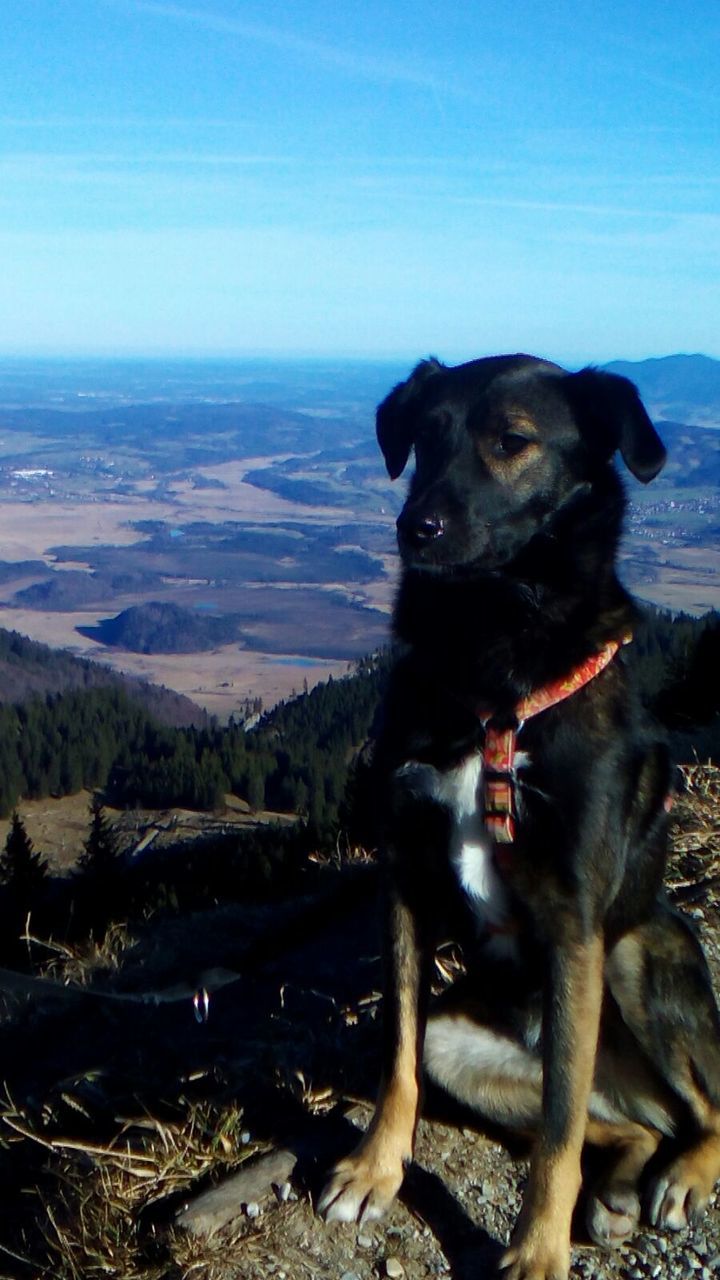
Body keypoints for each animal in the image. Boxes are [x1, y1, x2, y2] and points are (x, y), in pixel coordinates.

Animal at [319, 355, 720, 1280]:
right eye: (425, 438)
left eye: (513, 442)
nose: (415, 528)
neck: (493, 659)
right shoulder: (406, 876)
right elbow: (397, 1053)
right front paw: (374, 1168)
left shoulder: (574, 921)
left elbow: (558, 1133)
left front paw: (536, 1251)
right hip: (468, 1045)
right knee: (617, 1121)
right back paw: (621, 1187)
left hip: (633, 956)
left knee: (687, 1112)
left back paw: (682, 1177)